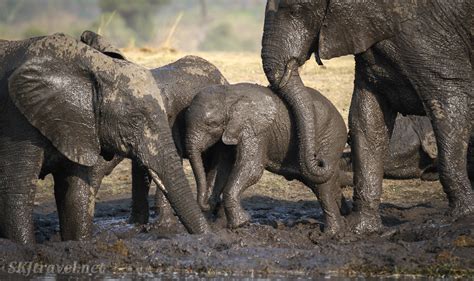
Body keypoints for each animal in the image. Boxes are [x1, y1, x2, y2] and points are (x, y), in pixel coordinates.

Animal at [0, 32, 209, 243]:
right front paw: (25, 247)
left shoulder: (79, 127)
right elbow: (16, 195)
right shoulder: (17, 121)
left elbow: (76, 195)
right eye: (135, 120)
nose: (209, 236)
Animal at [186, 83, 348, 234]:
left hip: (330, 138)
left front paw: (242, 223)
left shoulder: (255, 131)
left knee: (322, 186)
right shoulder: (230, 132)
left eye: (211, 124)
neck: (229, 94)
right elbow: (223, 166)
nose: (206, 204)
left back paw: (330, 233)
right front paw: (219, 224)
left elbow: (252, 169)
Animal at [262, 0, 474, 232]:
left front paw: (457, 218)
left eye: (294, 9)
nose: (321, 160)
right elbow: (367, 119)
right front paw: (360, 228)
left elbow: (449, 100)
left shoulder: (430, 37)